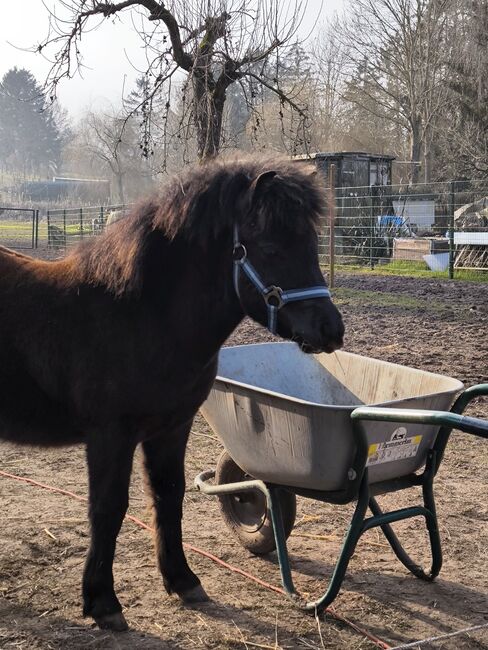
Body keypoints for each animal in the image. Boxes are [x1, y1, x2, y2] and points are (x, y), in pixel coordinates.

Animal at [0, 156, 344, 628]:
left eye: (310, 246)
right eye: (272, 248)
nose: (331, 329)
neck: (140, 316)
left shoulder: (172, 427)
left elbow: (169, 496)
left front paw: (182, 580)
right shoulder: (110, 435)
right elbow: (108, 509)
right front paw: (102, 601)